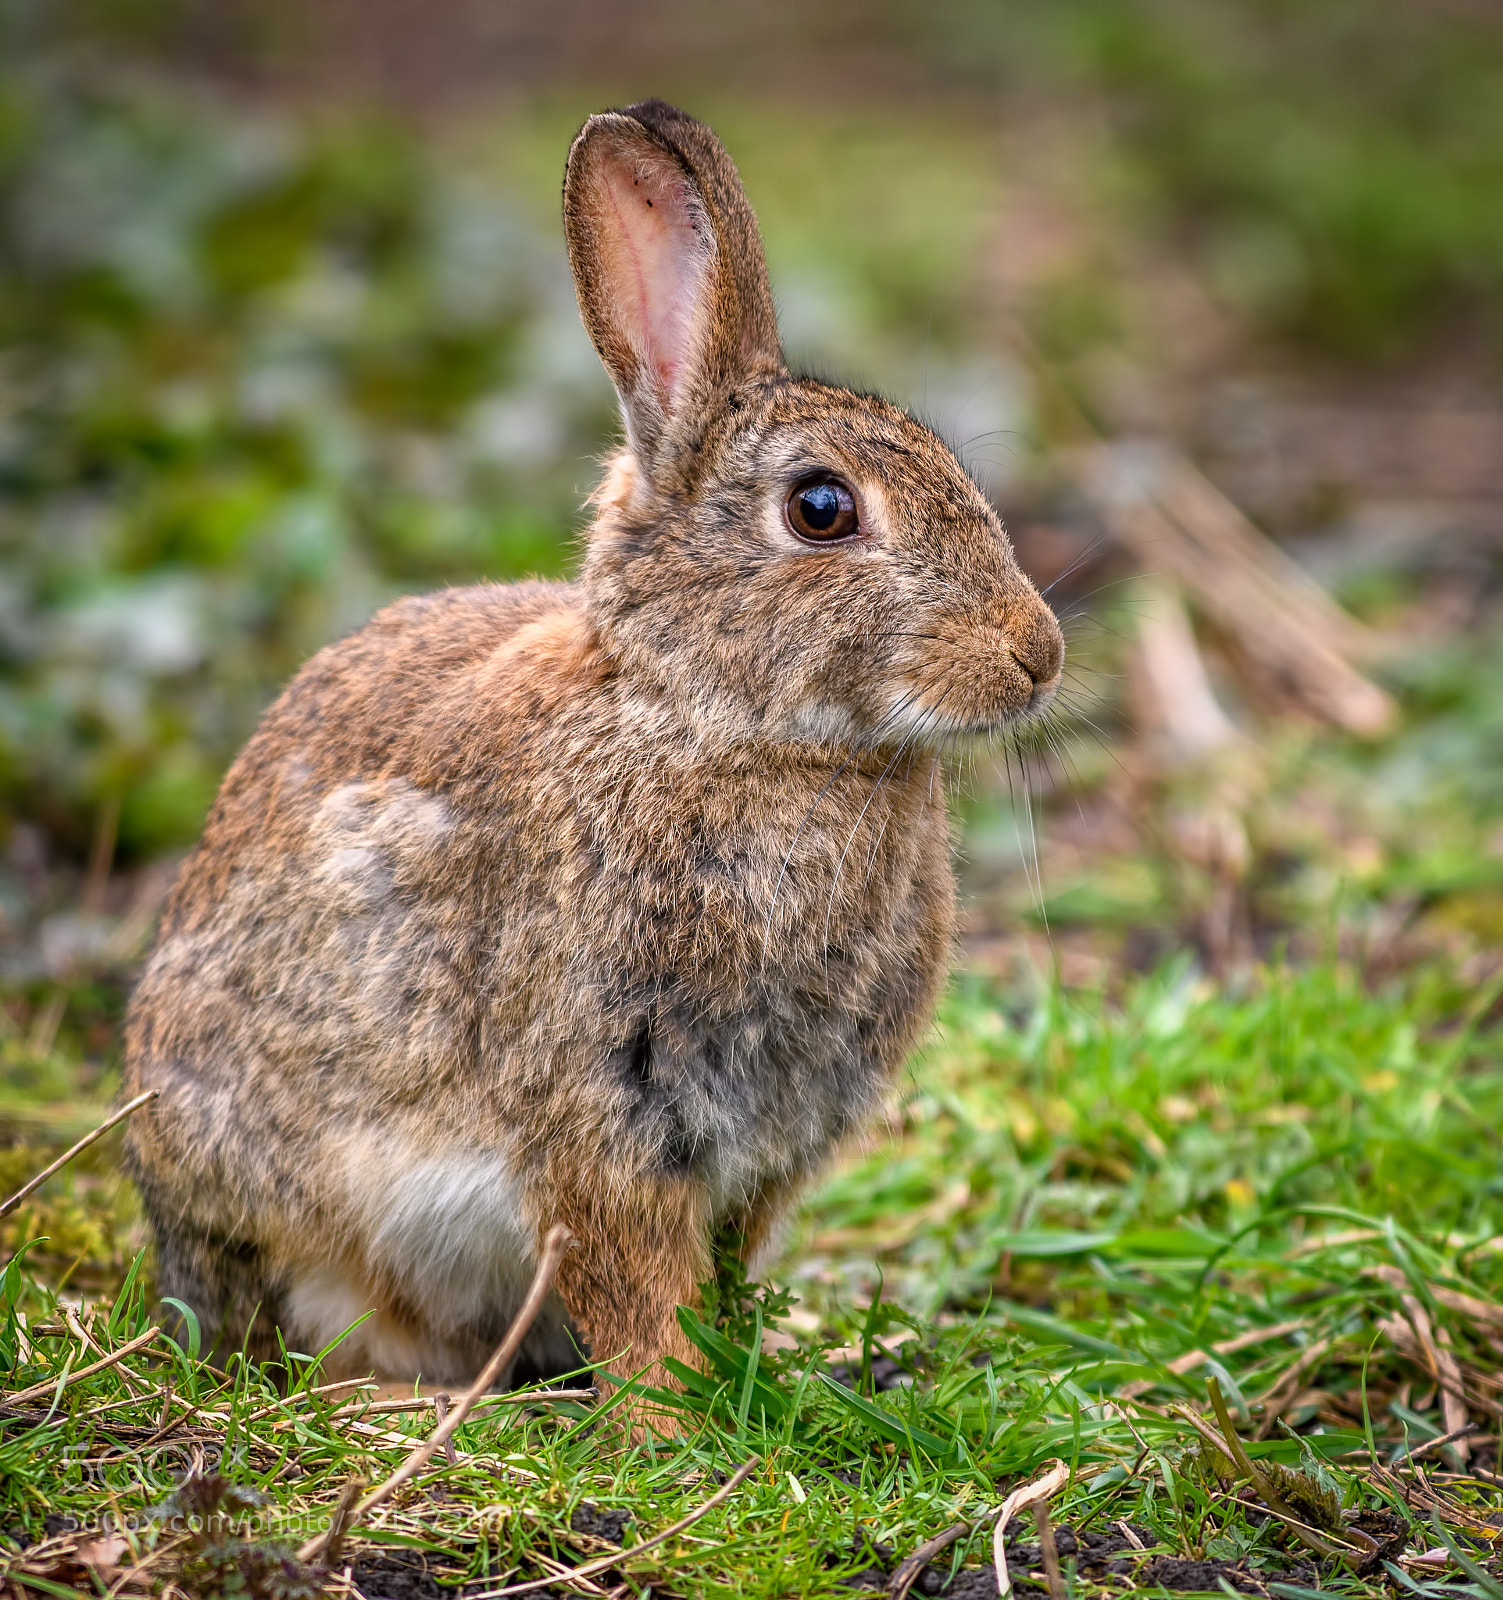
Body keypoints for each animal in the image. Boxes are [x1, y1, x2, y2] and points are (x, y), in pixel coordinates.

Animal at [121, 99, 1064, 1401]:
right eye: (822, 509)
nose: (1040, 654)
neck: (719, 727)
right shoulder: (602, 1119)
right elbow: (638, 1294)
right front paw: (673, 1420)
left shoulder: (762, 1152)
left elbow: (720, 1274)